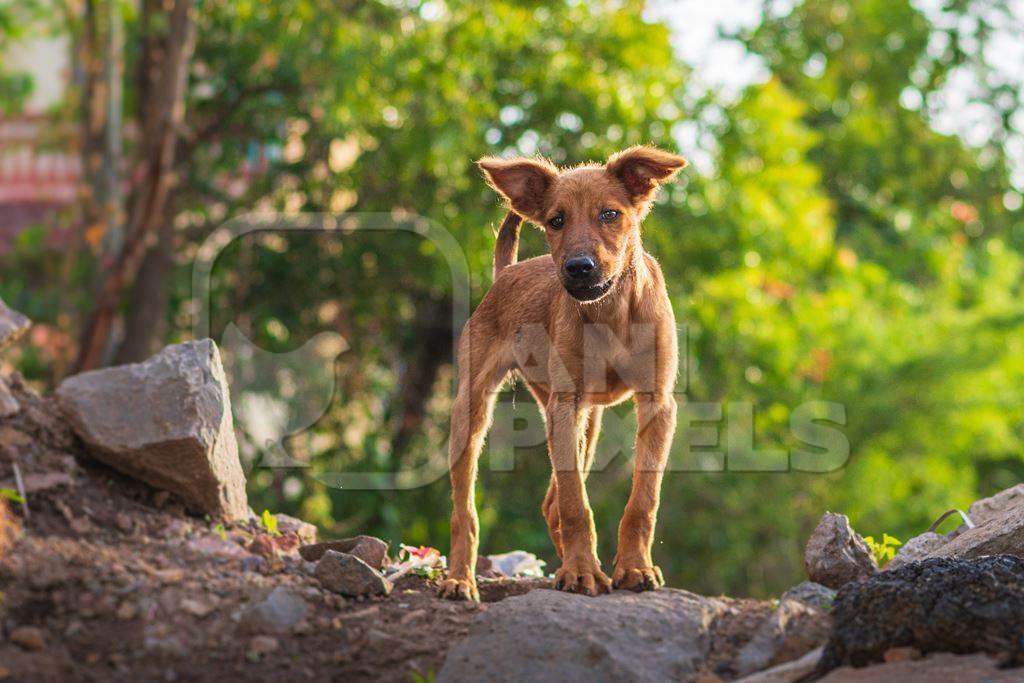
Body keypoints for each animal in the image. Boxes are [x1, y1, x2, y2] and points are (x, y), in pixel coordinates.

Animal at [436, 145, 684, 598]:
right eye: (556, 221)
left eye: (610, 214)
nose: (579, 268)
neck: (611, 312)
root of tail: (507, 273)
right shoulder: (564, 405)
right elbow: (575, 503)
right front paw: (582, 571)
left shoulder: (656, 403)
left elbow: (643, 499)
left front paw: (634, 568)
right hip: (474, 412)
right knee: (466, 511)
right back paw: (460, 578)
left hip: (587, 419)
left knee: (550, 503)